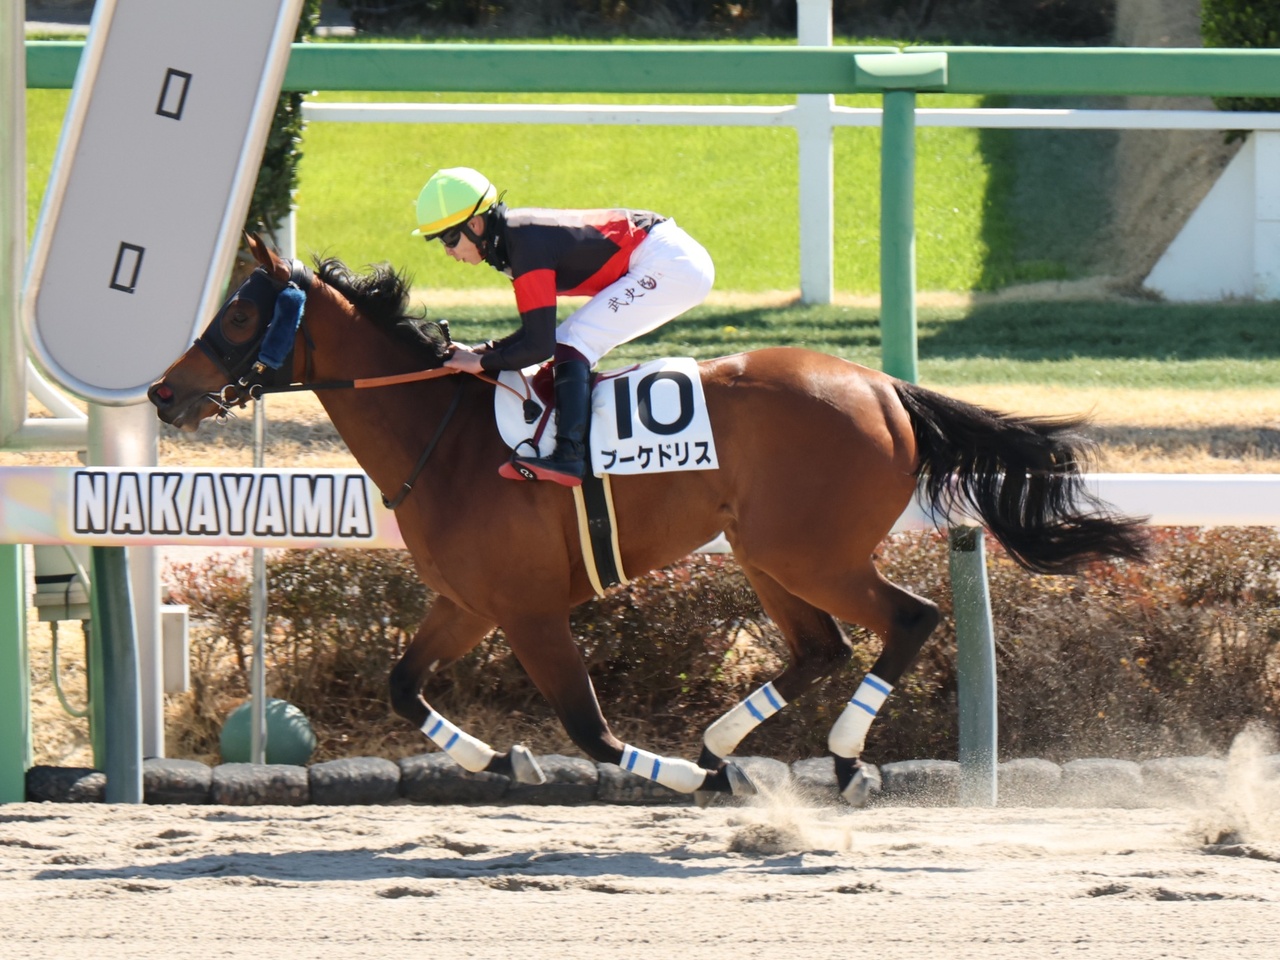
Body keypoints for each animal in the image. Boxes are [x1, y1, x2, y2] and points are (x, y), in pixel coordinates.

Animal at [148, 235, 1148, 803]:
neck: (447, 434)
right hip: (763, 550)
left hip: (811, 551)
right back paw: (728, 743)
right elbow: (402, 686)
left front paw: (669, 774)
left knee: (910, 618)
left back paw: (837, 755)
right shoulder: (469, 603)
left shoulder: (530, 611)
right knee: (820, 647)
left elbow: (590, 728)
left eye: (237, 315)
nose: (163, 392)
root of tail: (882, 385)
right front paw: (503, 760)